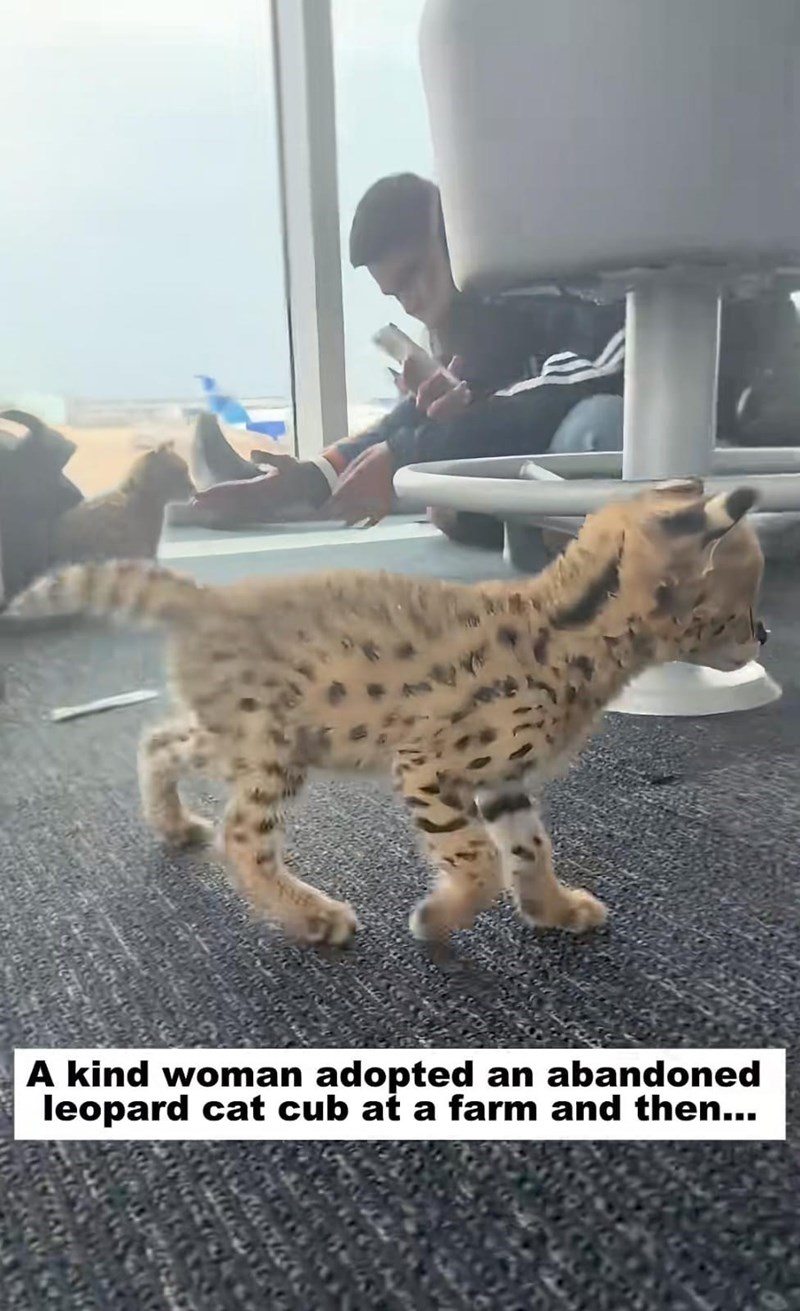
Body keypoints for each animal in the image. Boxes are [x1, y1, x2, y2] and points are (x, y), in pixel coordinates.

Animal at [8, 480, 767, 948]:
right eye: (742, 605)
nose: (764, 635)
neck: (569, 626)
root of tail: (209, 598)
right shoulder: (426, 765)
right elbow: (477, 859)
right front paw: (440, 917)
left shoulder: (503, 780)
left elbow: (528, 847)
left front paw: (549, 907)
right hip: (271, 745)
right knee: (243, 836)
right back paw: (311, 916)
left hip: (240, 736)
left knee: (160, 740)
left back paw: (169, 822)